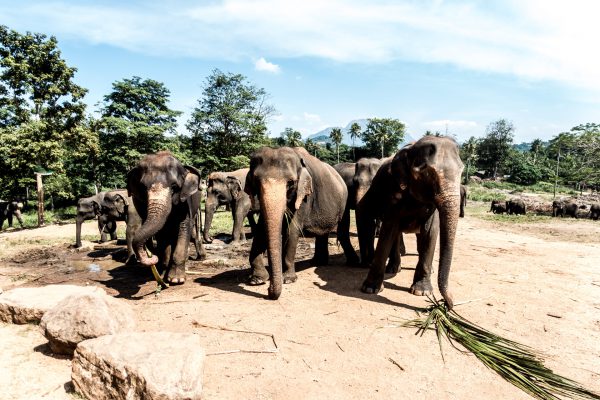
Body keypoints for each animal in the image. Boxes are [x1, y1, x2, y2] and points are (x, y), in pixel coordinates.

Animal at [126, 151, 204, 284]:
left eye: (174, 186)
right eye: (143, 187)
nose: (153, 257)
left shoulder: (185, 202)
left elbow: (184, 226)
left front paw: (176, 280)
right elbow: (162, 234)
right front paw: (163, 274)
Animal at [244, 145, 346, 298]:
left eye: (290, 183)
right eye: (256, 181)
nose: (269, 290)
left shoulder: (303, 197)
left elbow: (291, 232)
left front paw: (288, 280)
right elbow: (261, 230)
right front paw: (257, 280)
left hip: (343, 204)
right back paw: (317, 262)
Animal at [358, 135, 466, 310]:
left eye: (461, 171)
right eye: (427, 173)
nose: (446, 305)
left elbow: (430, 232)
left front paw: (422, 292)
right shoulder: (392, 190)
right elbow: (389, 229)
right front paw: (370, 289)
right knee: (395, 233)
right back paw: (393, 269)